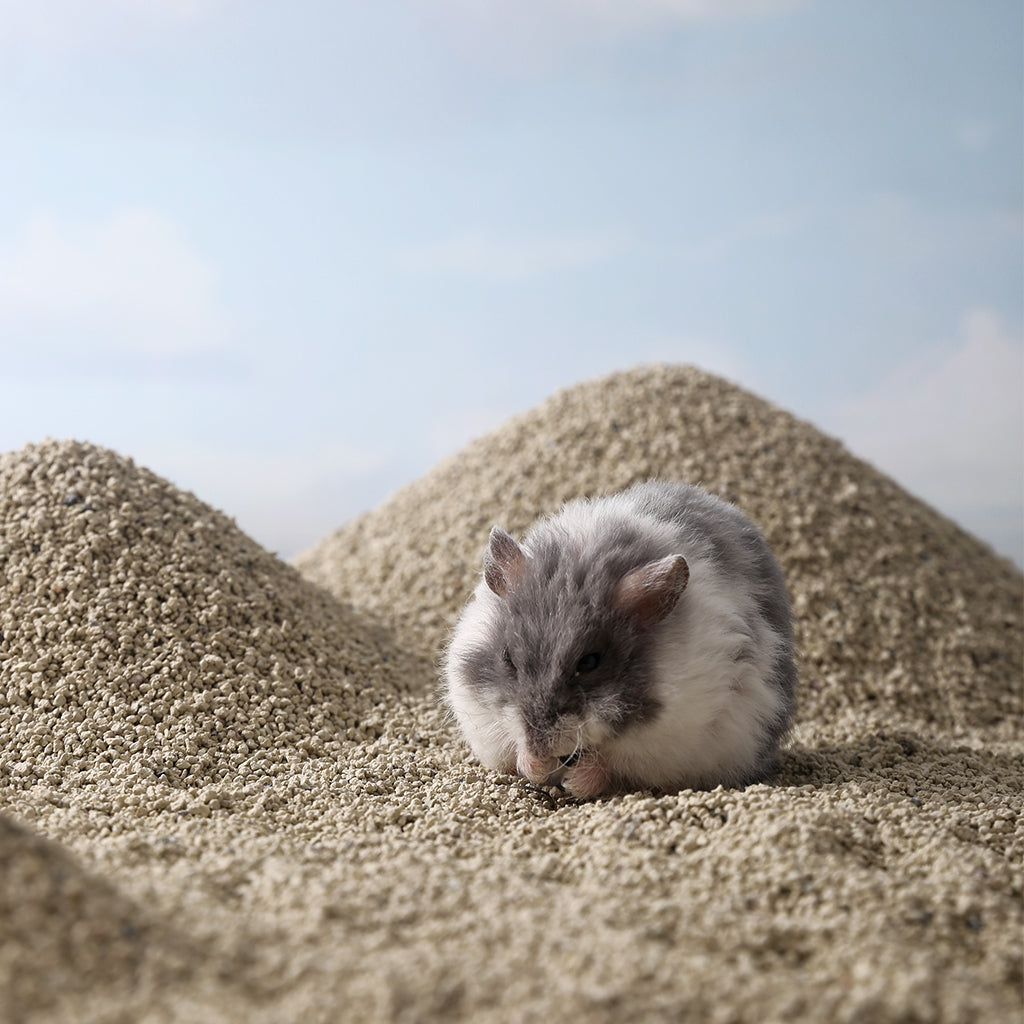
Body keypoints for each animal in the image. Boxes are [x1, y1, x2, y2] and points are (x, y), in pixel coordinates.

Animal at [442, 480, 796, 798]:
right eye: (508, 659)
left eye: (589, 662)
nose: (541, 746)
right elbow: (515, 751)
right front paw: (538, 767)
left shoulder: (668, 739)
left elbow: (608, 766)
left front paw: (574, 783)